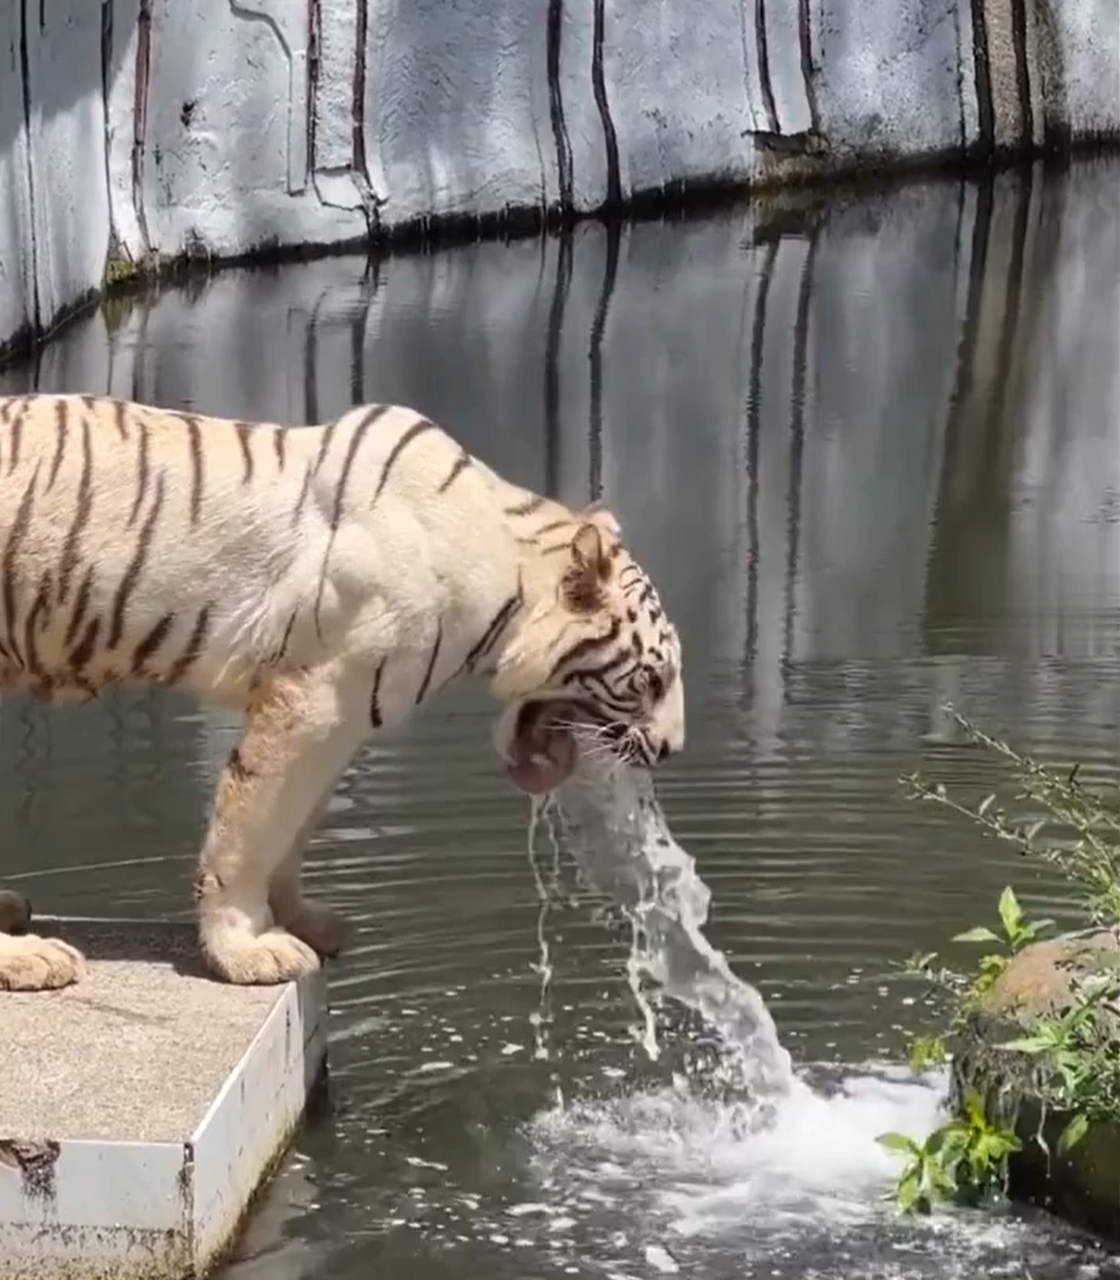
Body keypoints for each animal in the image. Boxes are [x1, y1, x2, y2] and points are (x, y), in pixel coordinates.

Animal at [0, 393, 685, 992]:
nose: (672, 749)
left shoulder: (344, 718)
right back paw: (28, 957)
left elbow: (293, 828)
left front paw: (300, 922)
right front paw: (248, 948)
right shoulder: (315, 696)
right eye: (651, 680)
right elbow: (250, 831)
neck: (504, 575)